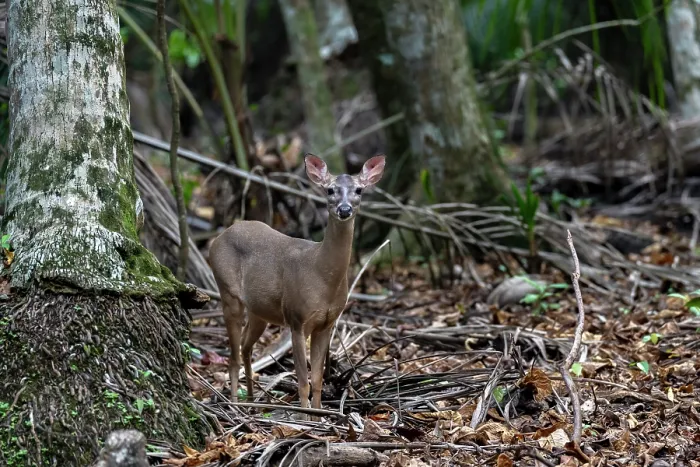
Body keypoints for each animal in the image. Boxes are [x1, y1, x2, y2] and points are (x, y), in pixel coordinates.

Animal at [209, 154, 386, 418]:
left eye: (359, 190)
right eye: (330, 189)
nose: (344, 209)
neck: (322, 276)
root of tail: (217, 238)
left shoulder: (327, 323)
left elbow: (318, 377)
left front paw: (320, 415)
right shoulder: (296, 318)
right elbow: (303, 379)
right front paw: (304, 418)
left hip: (260, 310)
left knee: (246, 347)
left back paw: (251, 400)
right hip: (228, 291)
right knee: (233, 356)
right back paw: (235, 406)